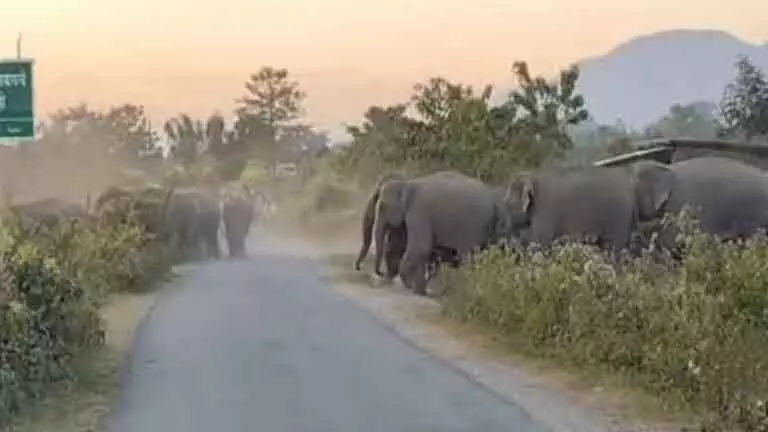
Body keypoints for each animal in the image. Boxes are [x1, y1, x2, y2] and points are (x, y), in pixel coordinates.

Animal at [374, 170, 508, 296]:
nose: (381, 273)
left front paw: (410, 286)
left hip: (473, 226)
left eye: (382, 206)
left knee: (468, 258)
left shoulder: (419, 211)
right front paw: (418, 291)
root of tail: (494, 203)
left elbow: (421, 247)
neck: (409, 183)